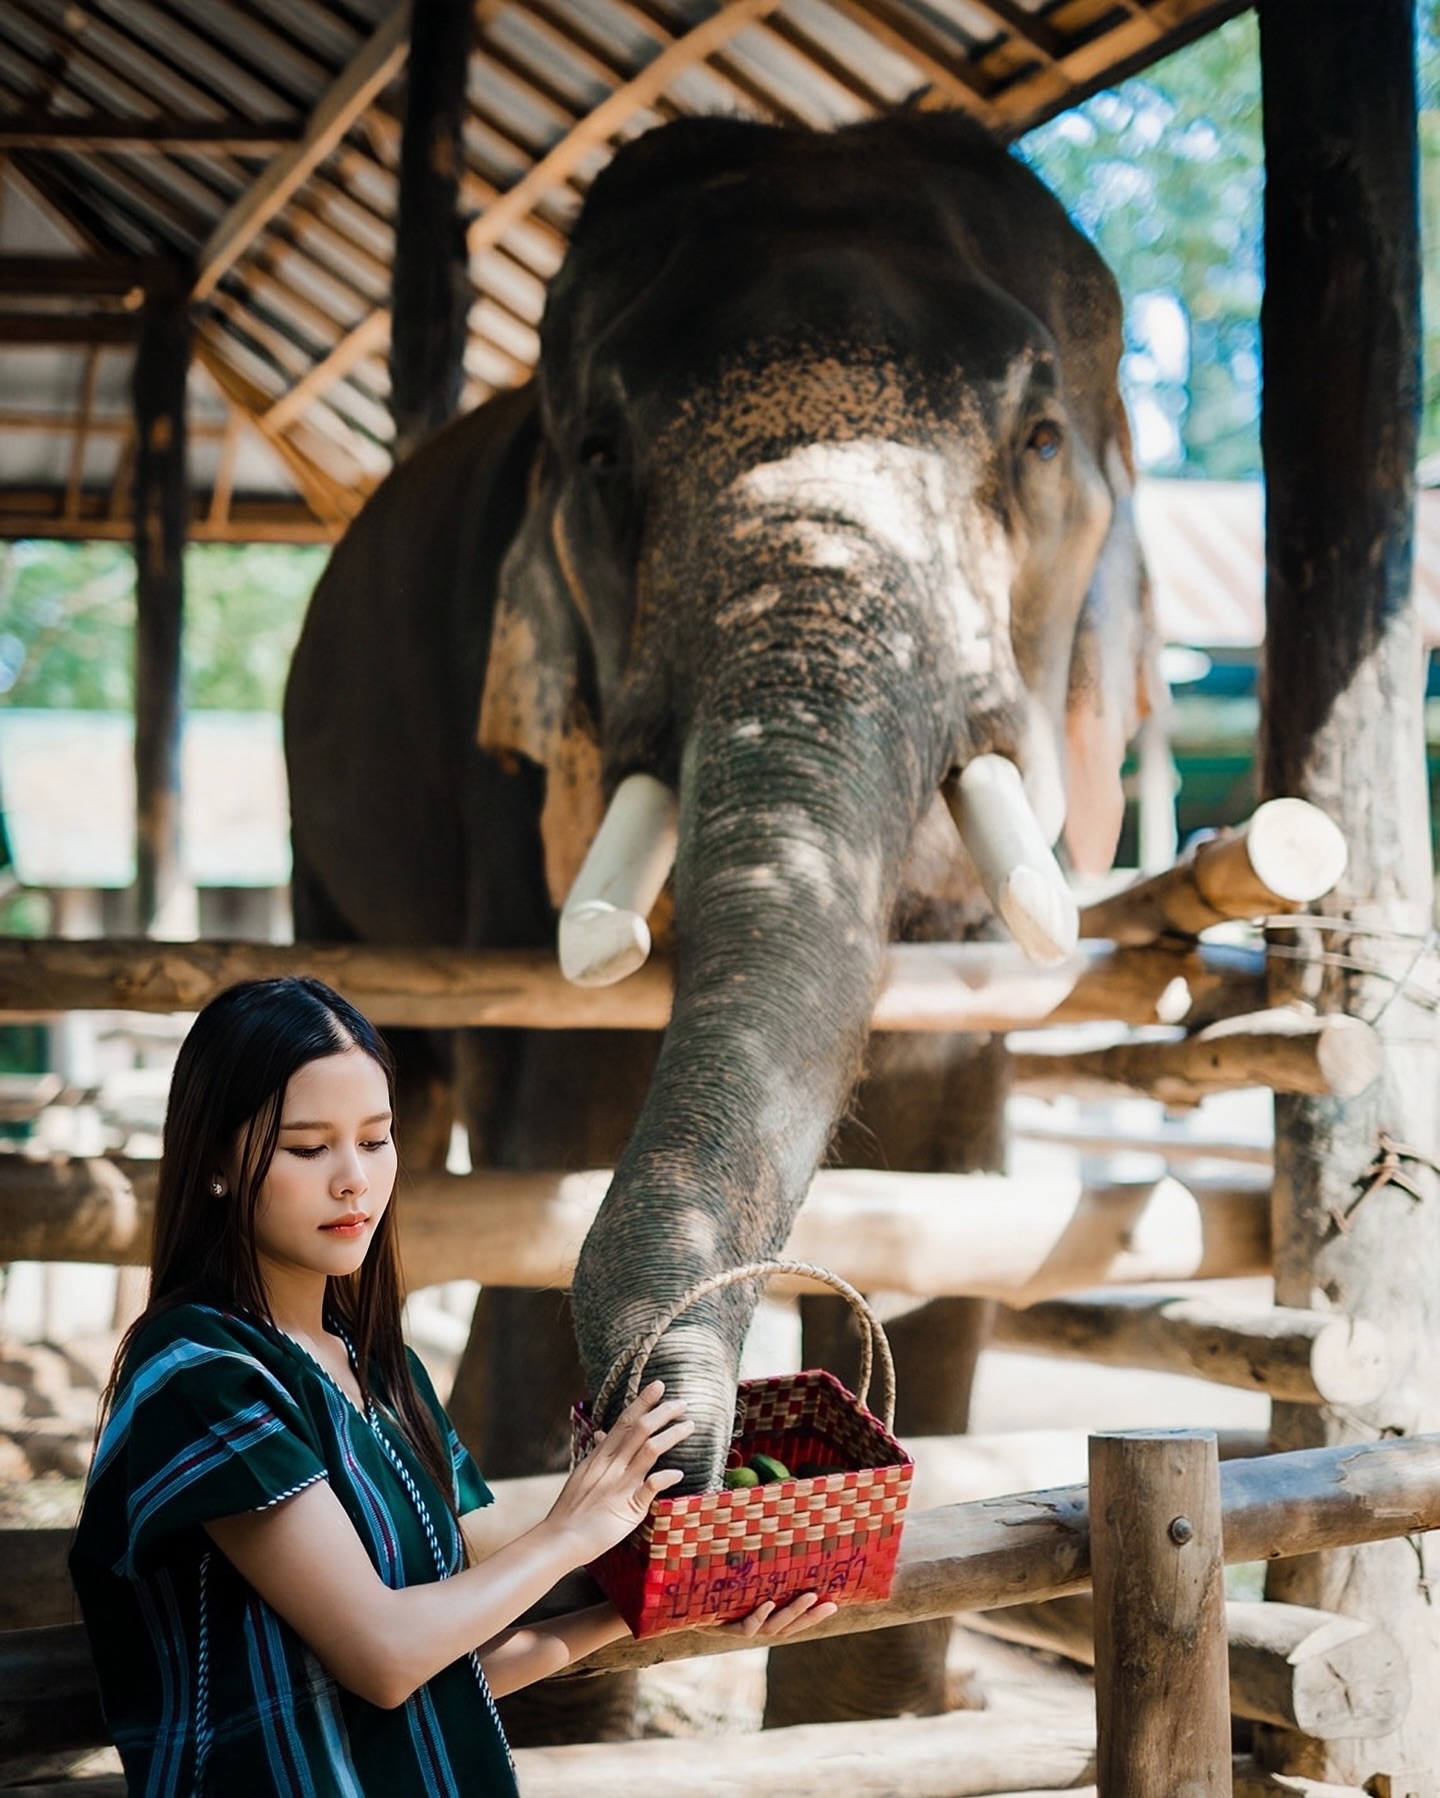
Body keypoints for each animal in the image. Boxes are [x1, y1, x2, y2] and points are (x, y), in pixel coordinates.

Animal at [284, 105, 1157, 1733]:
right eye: (600, 455)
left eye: (1040, 442)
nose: (676, 1436)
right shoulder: (519, 792)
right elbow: (551, 1131)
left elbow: (950, 1181)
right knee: (411, 1092)